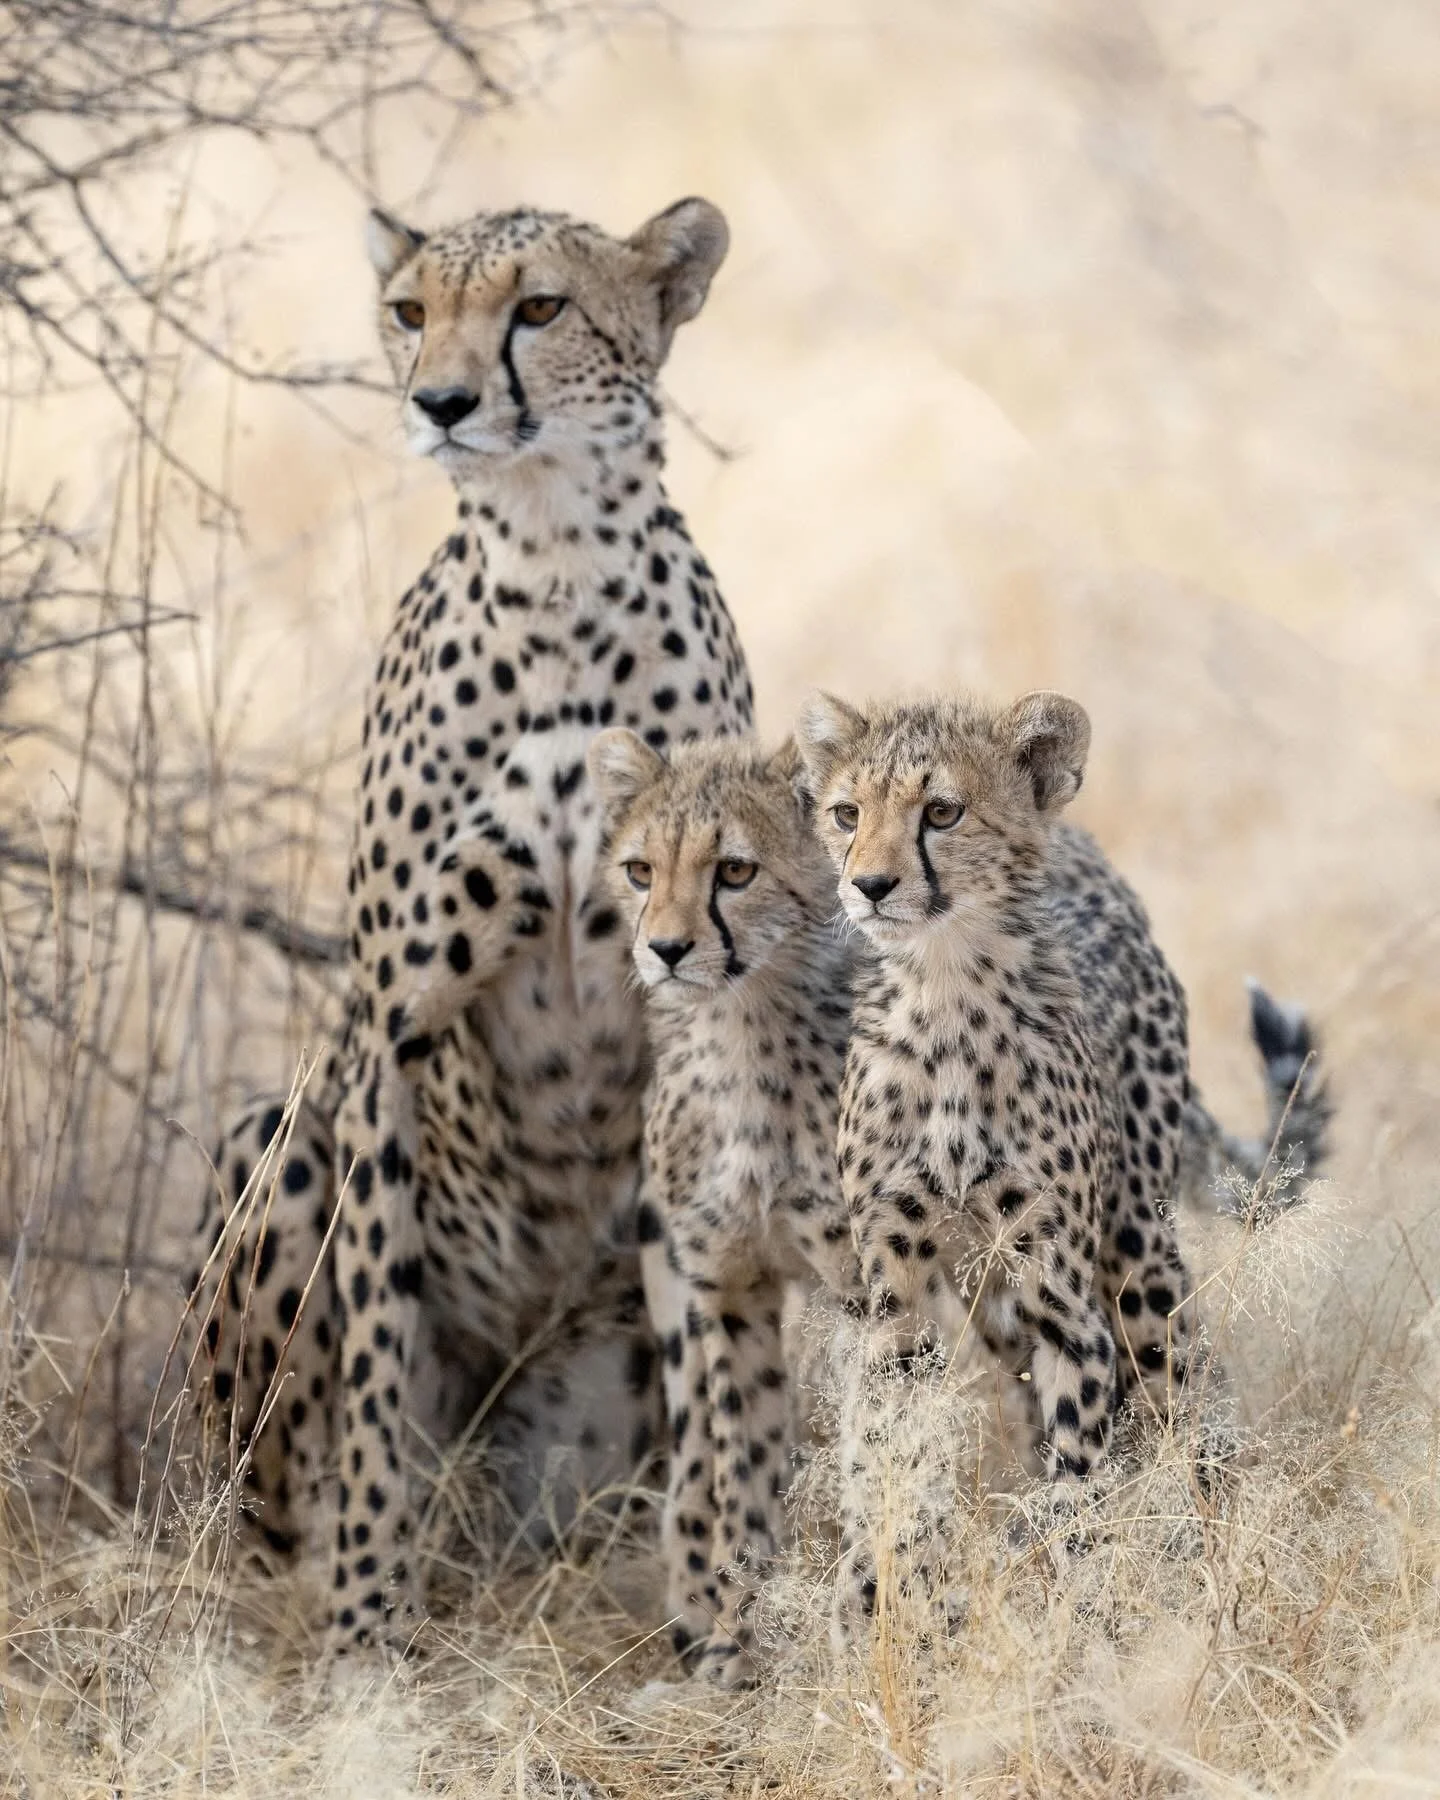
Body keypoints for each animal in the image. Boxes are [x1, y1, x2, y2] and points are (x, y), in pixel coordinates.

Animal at [189, 194, 755, 1649]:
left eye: (538, 307)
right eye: (409, 312)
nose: (440, 401)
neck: (555, 570)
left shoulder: (695, 1002)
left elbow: (717, 1373)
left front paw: (720, 1612)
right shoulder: (394, 1024)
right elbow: (378, 1369)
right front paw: (366, 1630)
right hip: (269, 1138)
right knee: (271, 1498)